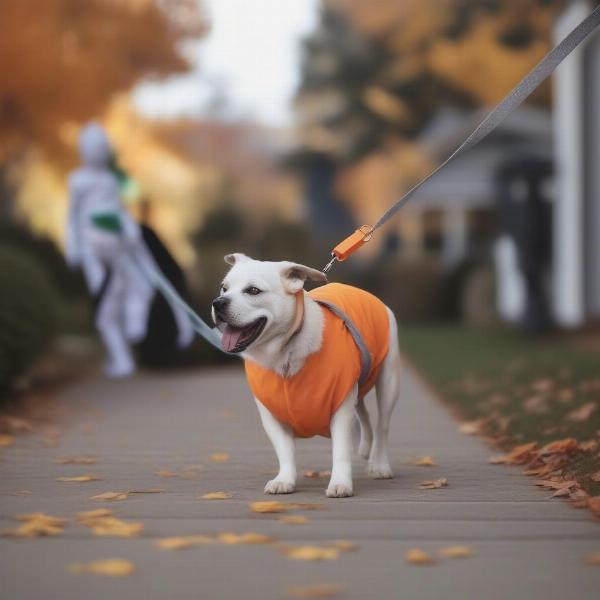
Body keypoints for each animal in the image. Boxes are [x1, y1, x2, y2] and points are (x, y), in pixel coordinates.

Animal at [213, 253, 400, 496]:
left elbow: (340, 450)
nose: (218, 303)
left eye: (253, 290)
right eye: (224, 288)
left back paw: (379, 464)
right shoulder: (272, 416)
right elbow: (285, 450)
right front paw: (285, 479)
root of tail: (365, 293)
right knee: (365, 415)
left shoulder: (341, 407)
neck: (284, 353)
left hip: (389, 383)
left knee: (382, 426)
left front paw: (340, 483)